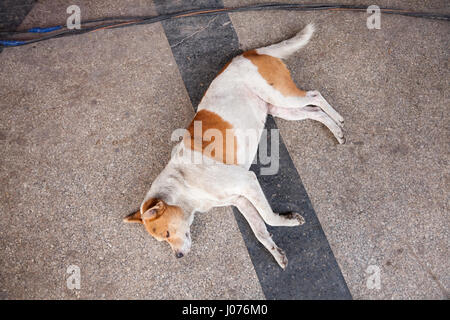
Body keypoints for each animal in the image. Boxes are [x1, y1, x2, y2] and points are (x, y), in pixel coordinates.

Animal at [124, 25, 344, 268]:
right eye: (164, 240)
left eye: (166, 234)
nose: (178, 256)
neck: (183, 184)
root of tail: (248, 54)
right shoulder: (240, 199)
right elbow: (260, 230)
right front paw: (276, 250)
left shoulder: (248, 181)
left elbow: (268, 217)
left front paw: (289, 220)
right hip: (280, 109)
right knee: (314, 112)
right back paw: (335, 129)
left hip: (283, 97)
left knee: (315, 95)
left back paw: (338, 119)